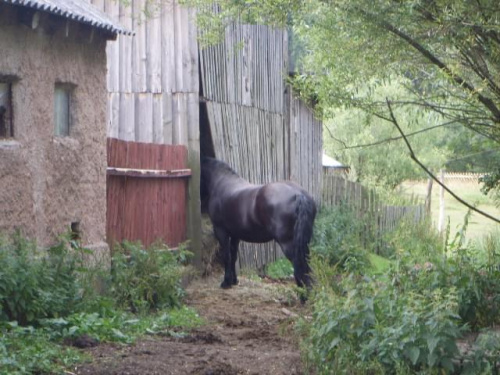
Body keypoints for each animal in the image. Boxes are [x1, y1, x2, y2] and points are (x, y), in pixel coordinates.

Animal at [200, 157, 314, 290]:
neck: (221, 183)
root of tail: (298, 194)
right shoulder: (235, 234)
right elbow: (233, 256)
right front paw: (234, 280)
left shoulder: (221, 231)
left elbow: (227, 257)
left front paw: (226, 282)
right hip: (304, 243)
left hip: (288, 244)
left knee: (301, 267)